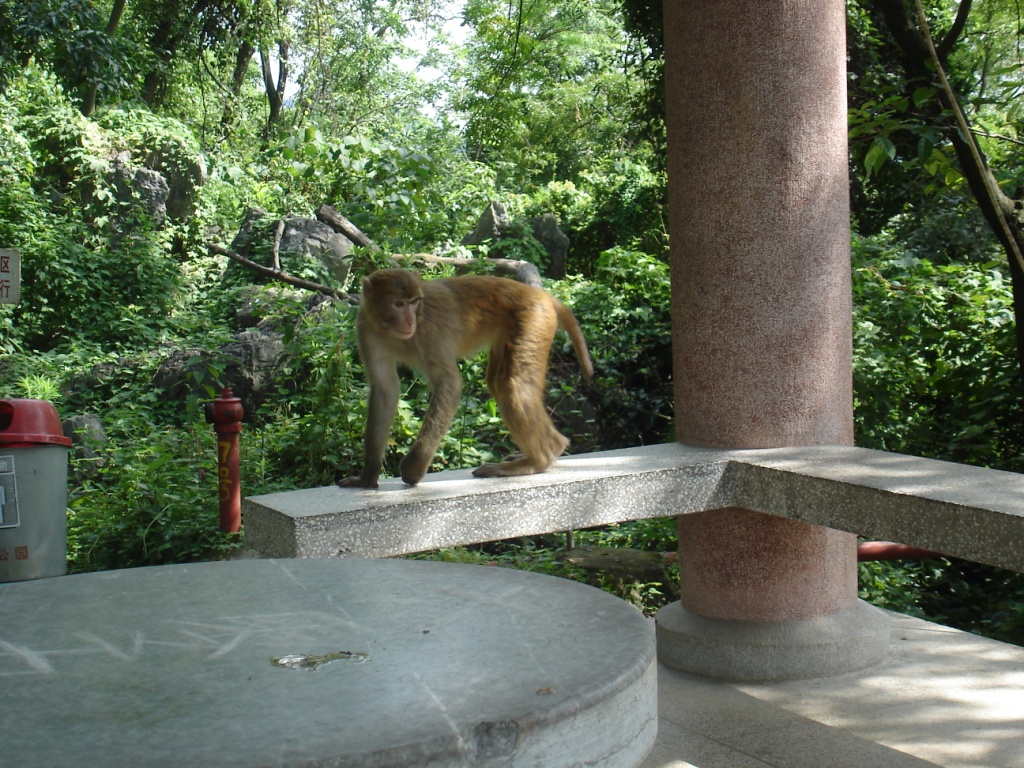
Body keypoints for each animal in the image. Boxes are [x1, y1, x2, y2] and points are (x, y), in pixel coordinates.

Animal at [338, 268, 593, 488]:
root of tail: (541, 294)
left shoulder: (428, 332)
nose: (410, 321)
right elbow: (386, 389)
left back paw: (538, 459)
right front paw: (367, 476)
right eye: (398, 304)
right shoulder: (366, 329)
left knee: (512, 386)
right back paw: (544, 451)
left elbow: (449, 385)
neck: (390, 331)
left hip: (533, 320)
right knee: (499, 382)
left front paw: (413, 468)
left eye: (414, 303)